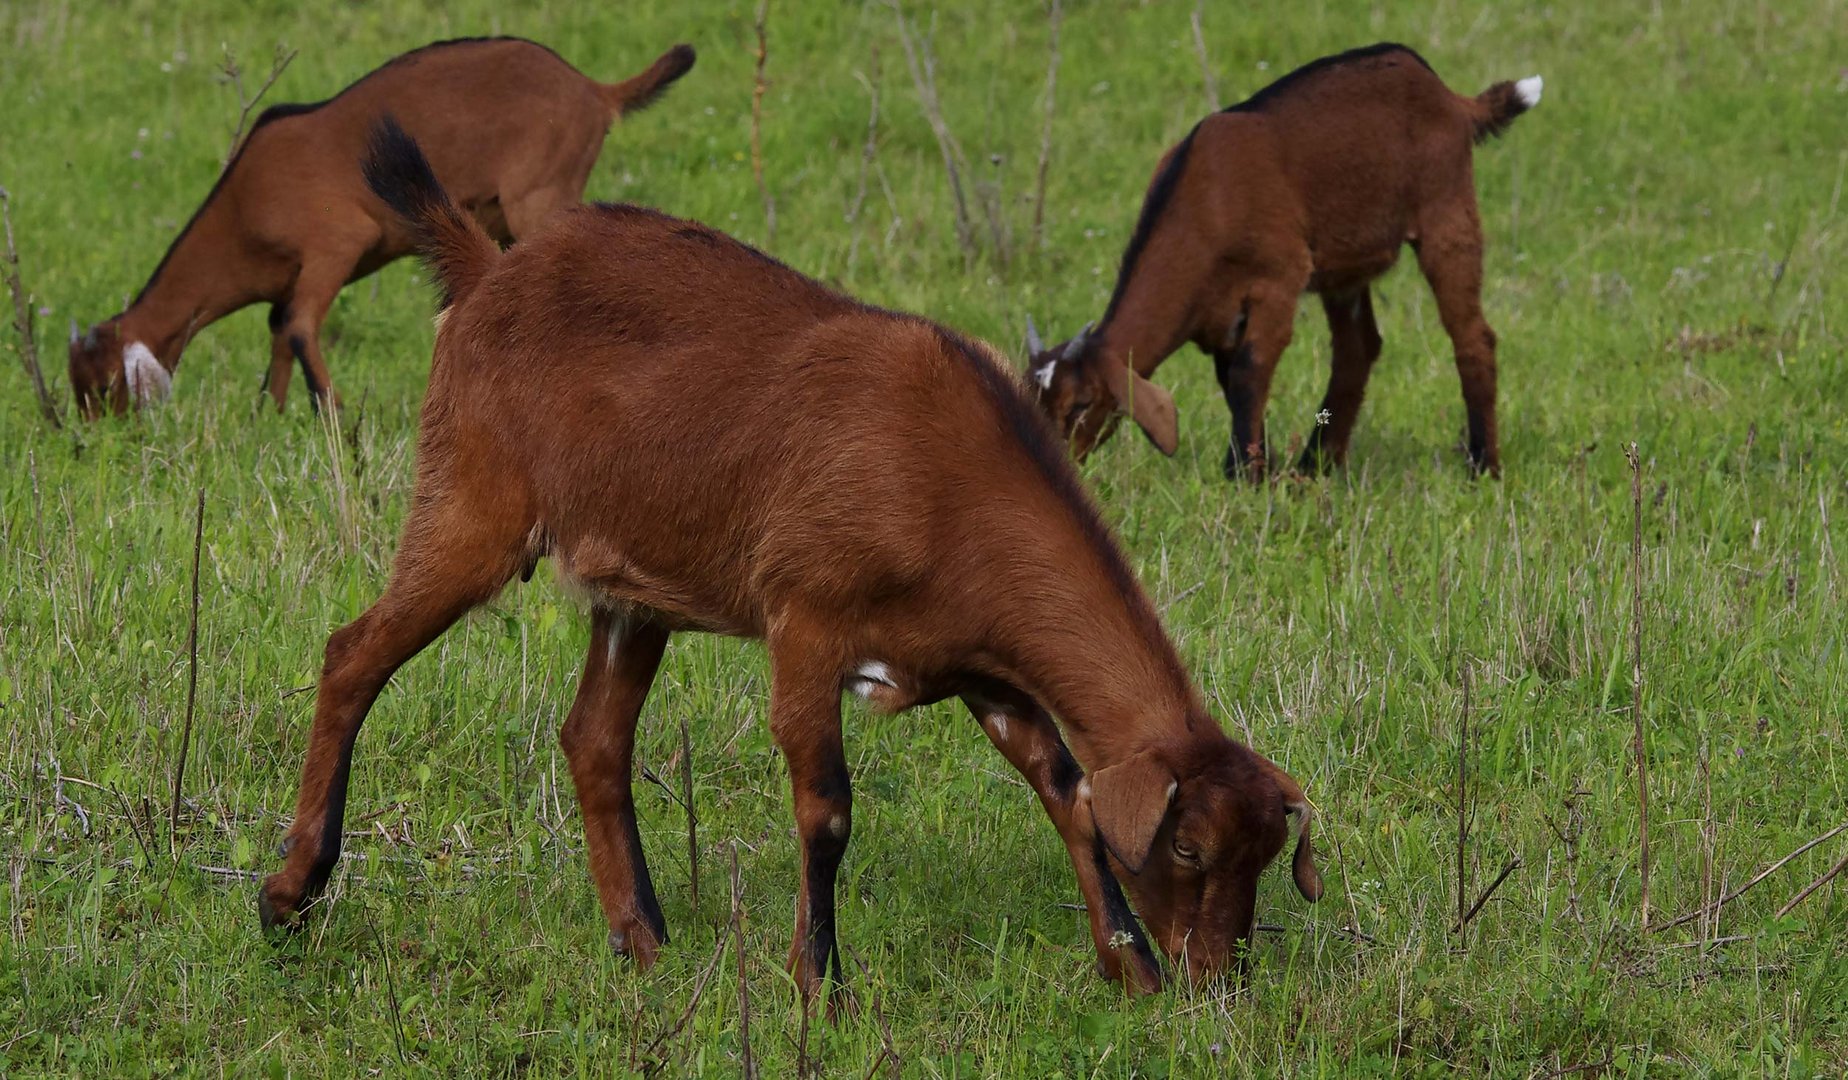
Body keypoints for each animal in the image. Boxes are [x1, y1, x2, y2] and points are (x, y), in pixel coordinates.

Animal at [66, 37, 694, 419]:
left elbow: (299, 327)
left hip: (541, 195)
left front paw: (339, 422)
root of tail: (595, 92)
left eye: (103, 386)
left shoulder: (335, 245)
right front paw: (271, 413)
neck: (242, 207)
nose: (101, 441)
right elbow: (278, 331)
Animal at [256, 122, 1330, 1006]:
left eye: (1267, 856)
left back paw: (643, 944)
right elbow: (827, 811)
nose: (1216, 978)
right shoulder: (807, 622)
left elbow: (1063, 787)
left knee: (593, 737)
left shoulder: (983, 662)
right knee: (353, 654)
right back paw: (290, 895)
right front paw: (822, 984)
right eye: (1186, 844)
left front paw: (1128, 966)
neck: (950, 477)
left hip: (633, 588)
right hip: (472, 503)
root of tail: (487, 271)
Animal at [1027, 44, 1544, 477]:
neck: (1206, 201)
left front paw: (1243, 474)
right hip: (1344, 266)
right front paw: (1264, 464)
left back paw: (1482, 465)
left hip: (1448, 211)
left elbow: (1250, 369)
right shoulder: (1220, 314)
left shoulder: (1278, 278)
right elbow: (1231, 378)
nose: (1050, 463)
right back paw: (1318, 464)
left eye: (1081, 403)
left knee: (1473, 335)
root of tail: (1449, 95)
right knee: (1358, 348)